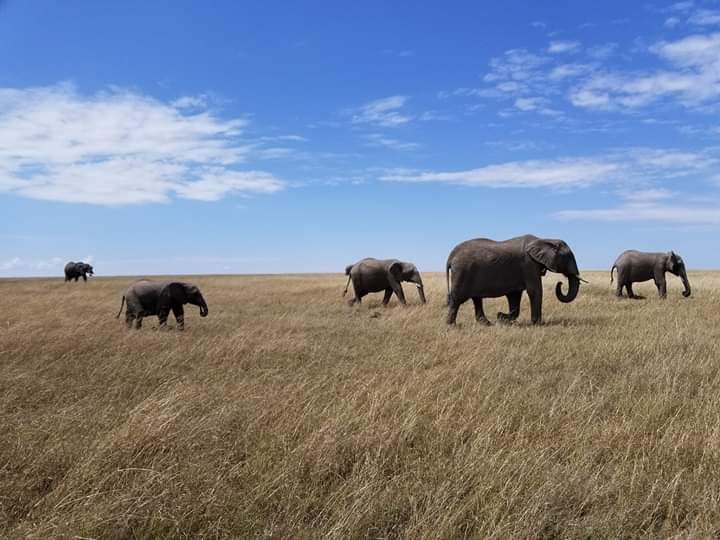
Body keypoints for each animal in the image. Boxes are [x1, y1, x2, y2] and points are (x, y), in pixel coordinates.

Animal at [448, 233, 588, 324]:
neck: (544, 240)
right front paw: (537, 324)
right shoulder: (528, 264)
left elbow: (514, 295)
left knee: (476, 298)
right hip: (462, 272)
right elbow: (535, 290)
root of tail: (452, 254)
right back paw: (451, 326)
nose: (560, 283)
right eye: (567, 257)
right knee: (457, 299)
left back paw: (486, 324)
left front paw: (503, 318)